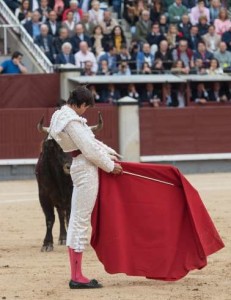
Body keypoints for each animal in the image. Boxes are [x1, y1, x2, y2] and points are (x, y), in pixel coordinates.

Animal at [35, 112, 103, 251]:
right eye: (58, 145)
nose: (69, 166)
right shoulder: (43, 195)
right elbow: (50, 218)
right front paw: (47, 243)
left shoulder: (73, 193)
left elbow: (71, 215)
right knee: (61, 215)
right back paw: (62, 237)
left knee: (66, 215)